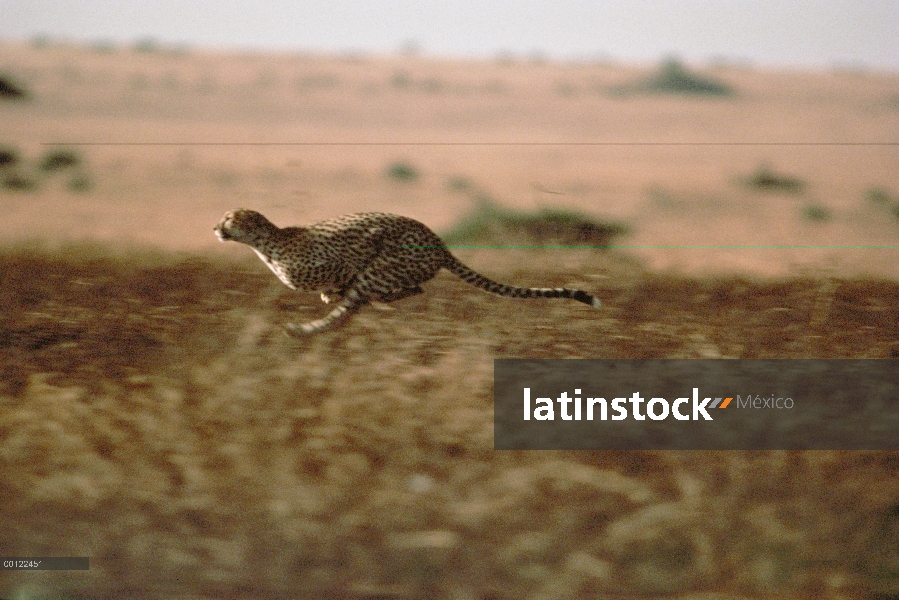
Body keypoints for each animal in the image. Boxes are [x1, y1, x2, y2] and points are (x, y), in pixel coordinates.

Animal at [214, 209, 600, 336]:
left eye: (229, 218)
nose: (215, 227)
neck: (266, 244)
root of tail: (440, 243)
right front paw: (328, 293)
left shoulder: (349, 259)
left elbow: (347, 275)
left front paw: (331, 293)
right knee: (405, 291)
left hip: (387, 265)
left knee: (367, 299)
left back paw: (304, 329)